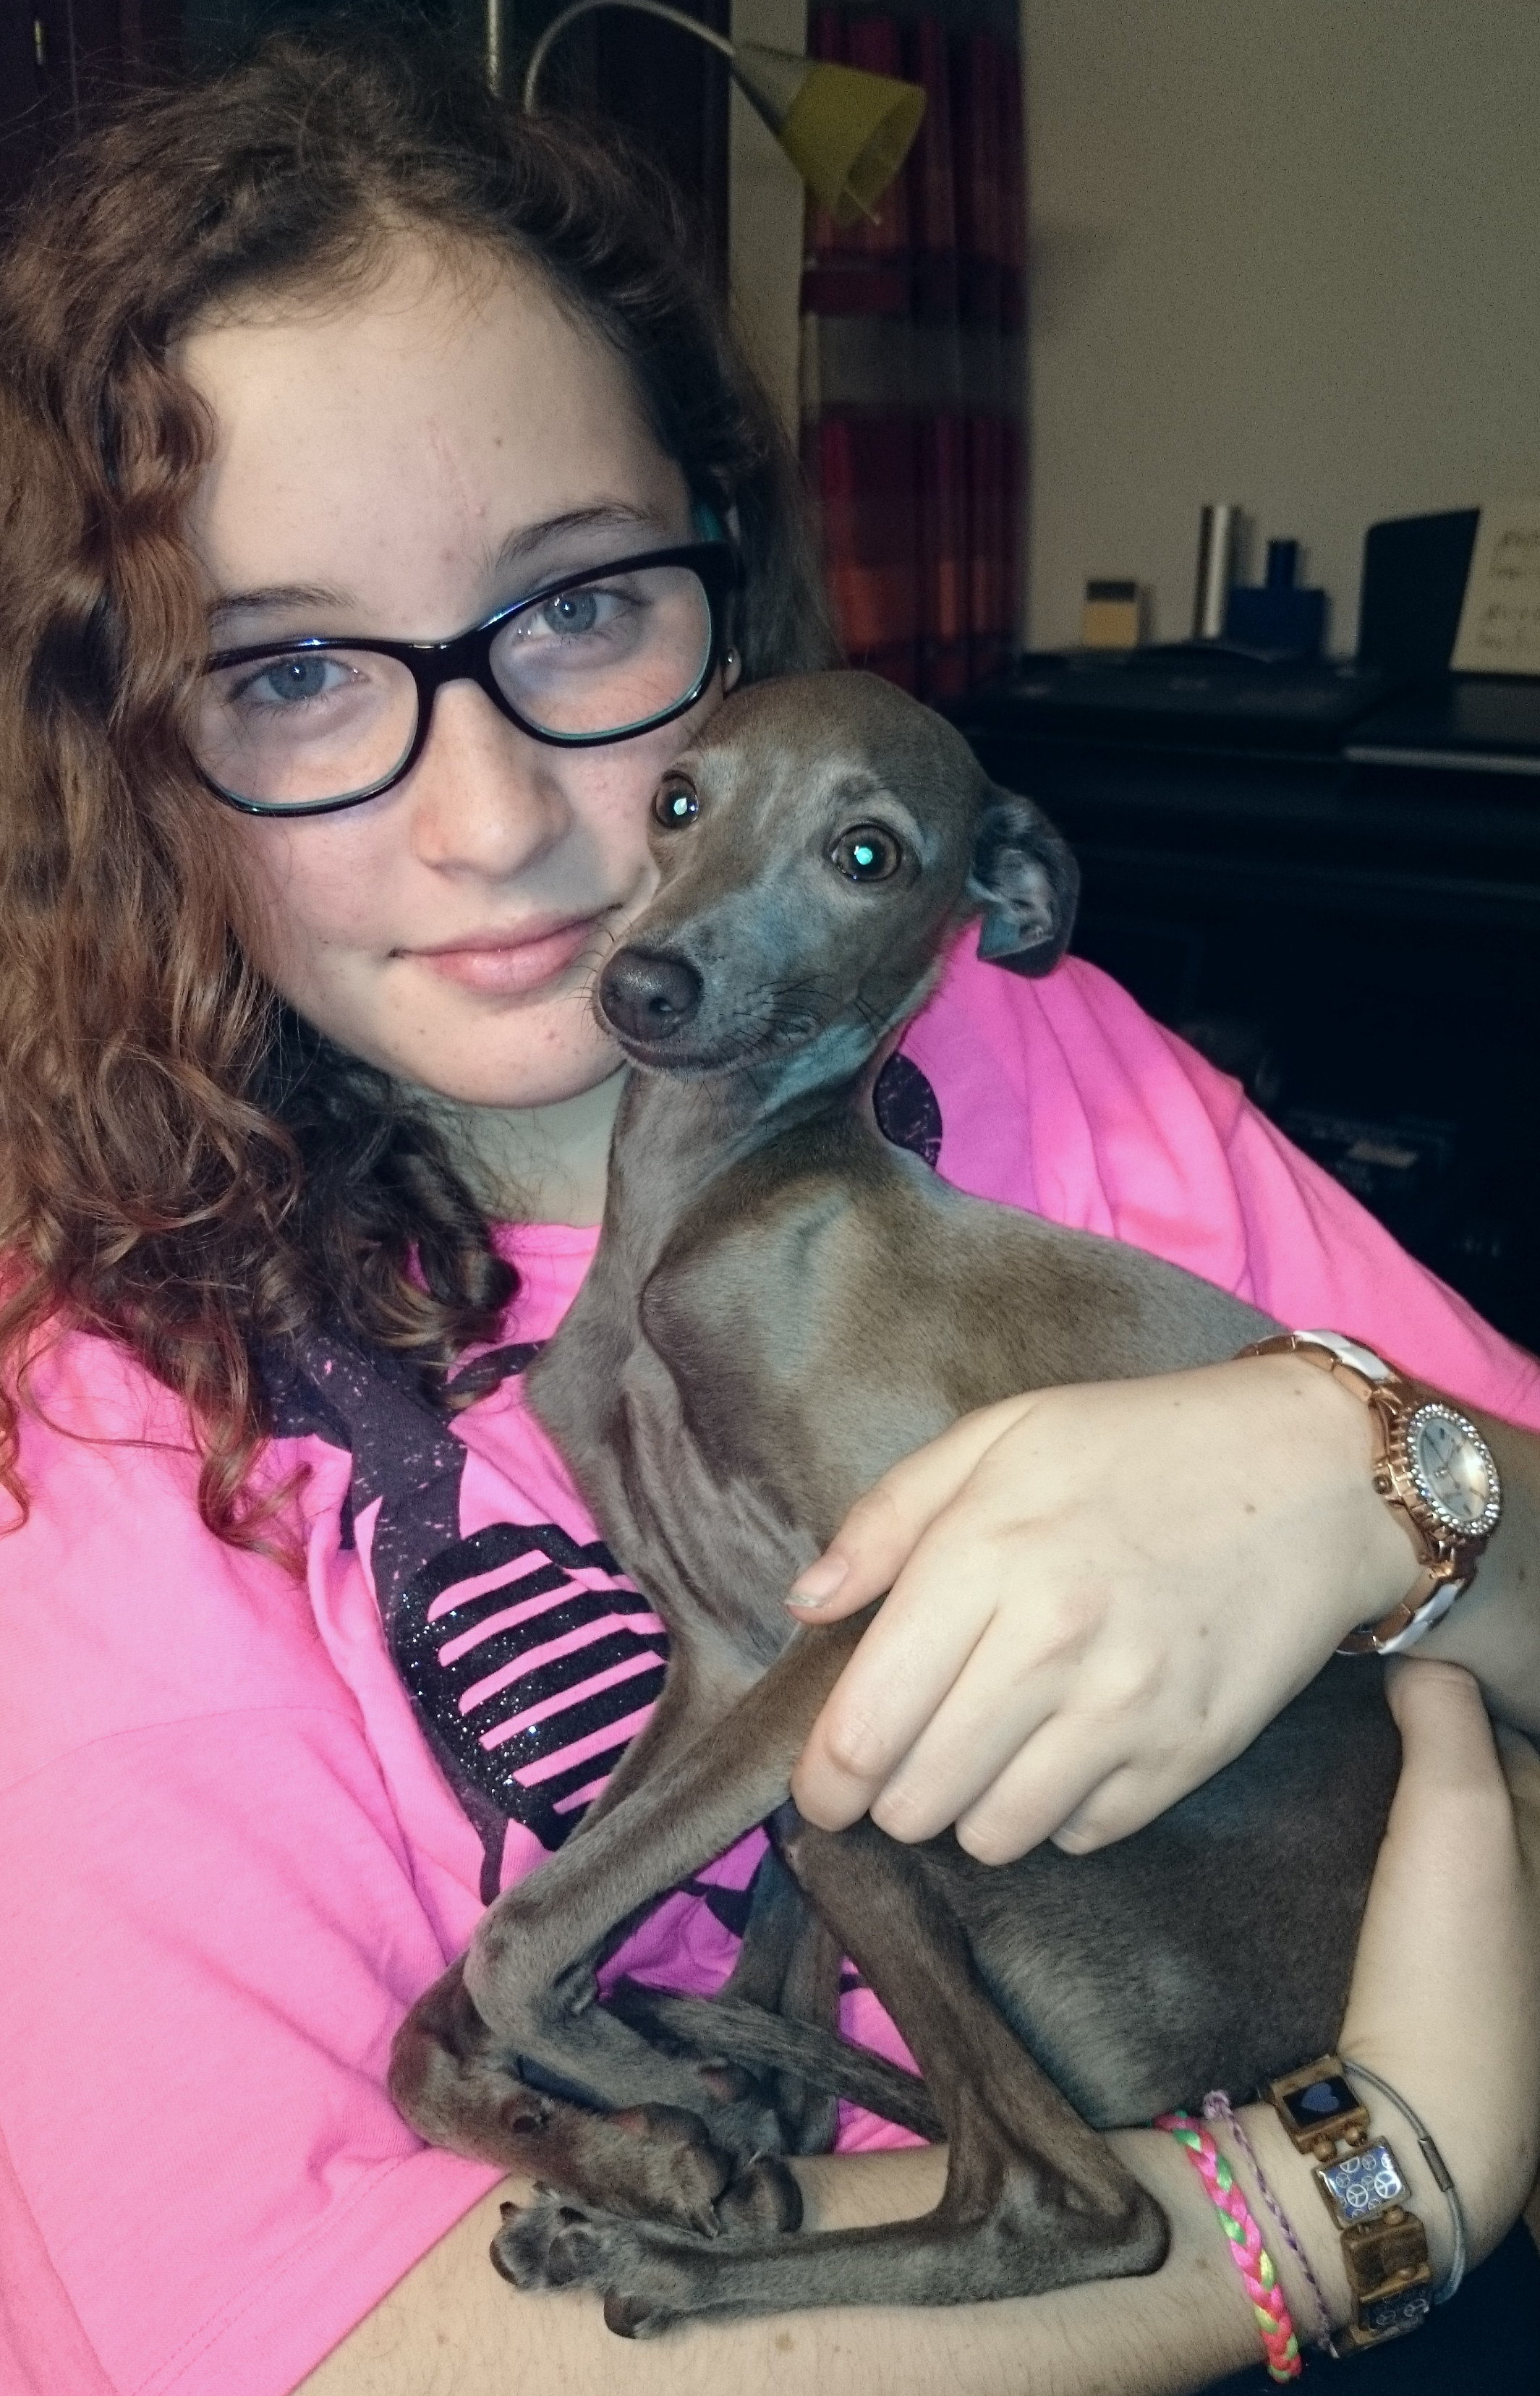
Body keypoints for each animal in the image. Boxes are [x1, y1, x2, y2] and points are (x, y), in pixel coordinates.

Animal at [389, 670, 1397, 2337]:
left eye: (866, 855)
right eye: (674, 797)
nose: (643, 987)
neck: (707, 1204)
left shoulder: (855, 1625)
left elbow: (515, 1937)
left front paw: (643, 2104)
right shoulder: (717, 1664)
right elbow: (474, 1979)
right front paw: (613, 2123)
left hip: (887, 1800)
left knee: (1072, 2202)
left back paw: (662, 2234)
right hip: (838, 1813)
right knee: (845, 2096)